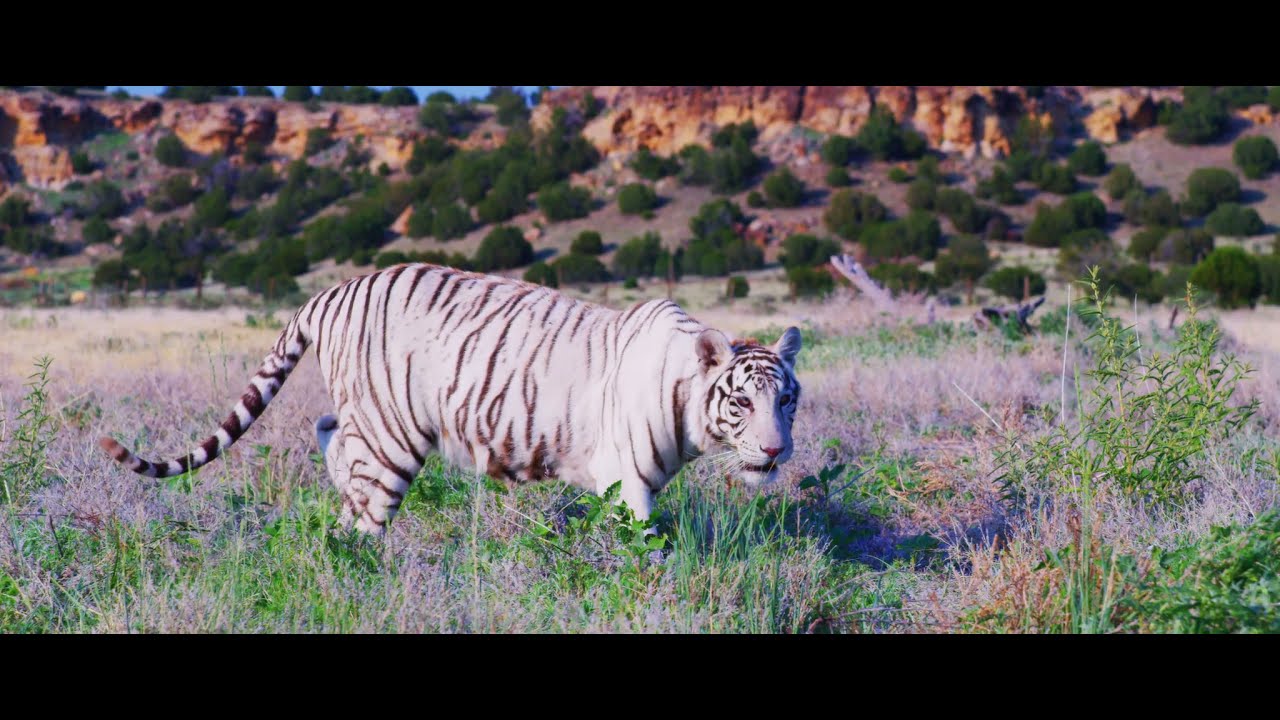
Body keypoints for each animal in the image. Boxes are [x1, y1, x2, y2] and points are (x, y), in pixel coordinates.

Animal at [99, 263, 803, 535]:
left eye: (787, 401)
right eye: (741, 403)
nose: (775, 452)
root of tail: (329, 291)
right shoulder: (625, 477)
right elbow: (644, 543)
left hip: (366, 414)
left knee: (329, 434)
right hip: (393, 431)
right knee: (362, 508)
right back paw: (358, 548)